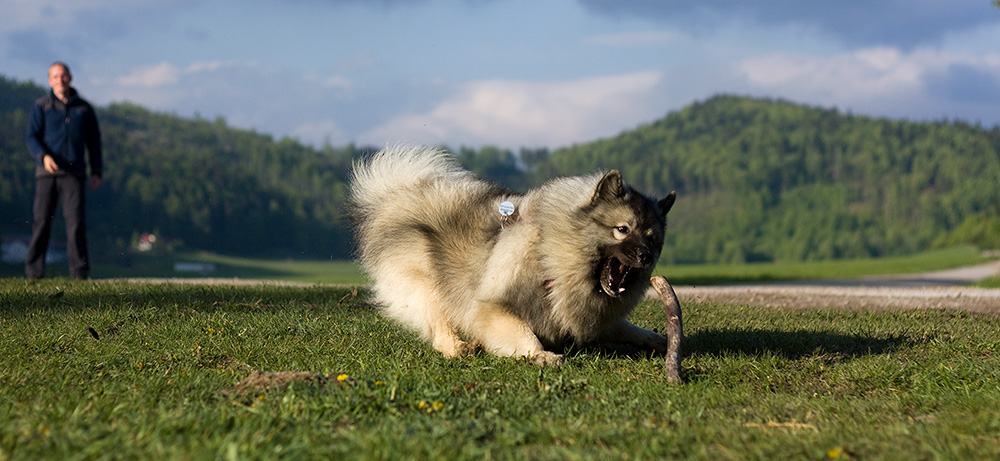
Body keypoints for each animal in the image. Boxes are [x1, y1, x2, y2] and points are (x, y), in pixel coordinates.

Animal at [348, 146, 676, 364]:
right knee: (439, 324)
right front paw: (540, 355)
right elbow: (522, 332)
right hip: (429, 285)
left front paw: (659, 339)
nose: (645, 256)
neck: (550, 255)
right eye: (622, 229)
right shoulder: (492, 307)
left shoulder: (591, 318)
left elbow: (627, 328)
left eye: (652, 239)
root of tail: (394, 197)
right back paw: (459, 347)